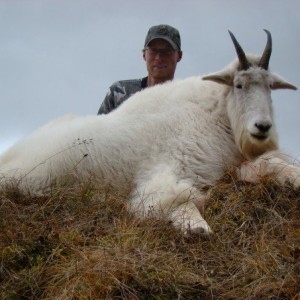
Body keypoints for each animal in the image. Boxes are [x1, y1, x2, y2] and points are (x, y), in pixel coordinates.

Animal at [0, 30, 298, 234]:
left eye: (270, 87)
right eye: (238, 85)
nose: (262, 127)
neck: (215, 116)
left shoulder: (234, 164)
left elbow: (272, 165)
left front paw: (292, 178)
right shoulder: (167, 172)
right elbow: (175, 200)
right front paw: (196, 227)